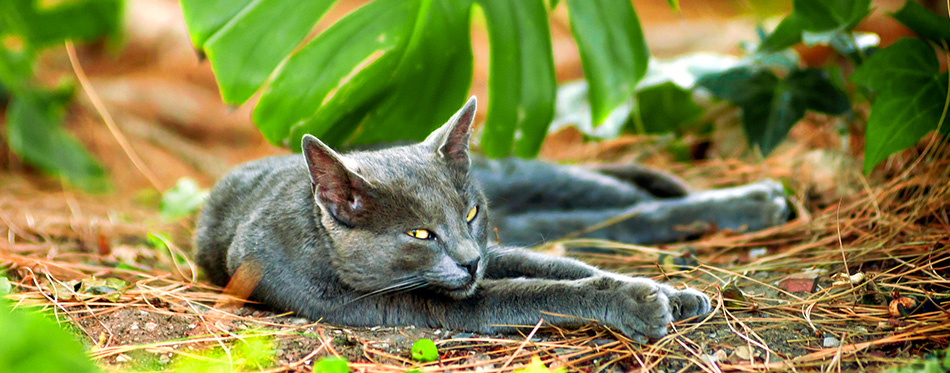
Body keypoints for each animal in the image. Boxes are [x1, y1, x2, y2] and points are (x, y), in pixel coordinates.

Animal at [195, 97, 712, 342]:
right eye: (420, 234)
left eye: (470, 213)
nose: (468, 261)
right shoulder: (383, 303)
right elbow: (528, 291)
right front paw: (638, 302)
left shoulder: (493, 248)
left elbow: (560, 267)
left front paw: (673, 294)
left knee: (615, 197)